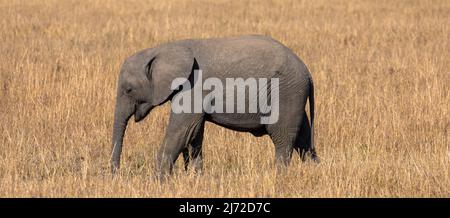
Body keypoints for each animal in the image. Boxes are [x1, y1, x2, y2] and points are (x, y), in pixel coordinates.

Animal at [110, 34, 318, 177]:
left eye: (128, 90)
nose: (115, 175)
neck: (161, 50)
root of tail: (307, 73)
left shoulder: (192, 86)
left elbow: (181, 131)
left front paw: (156, 182)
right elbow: (194, 133)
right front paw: (195, 178)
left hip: (286, 93)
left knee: (282, 139)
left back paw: (279, 177)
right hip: (293, 95)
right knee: (304, 141)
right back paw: (313, 171)